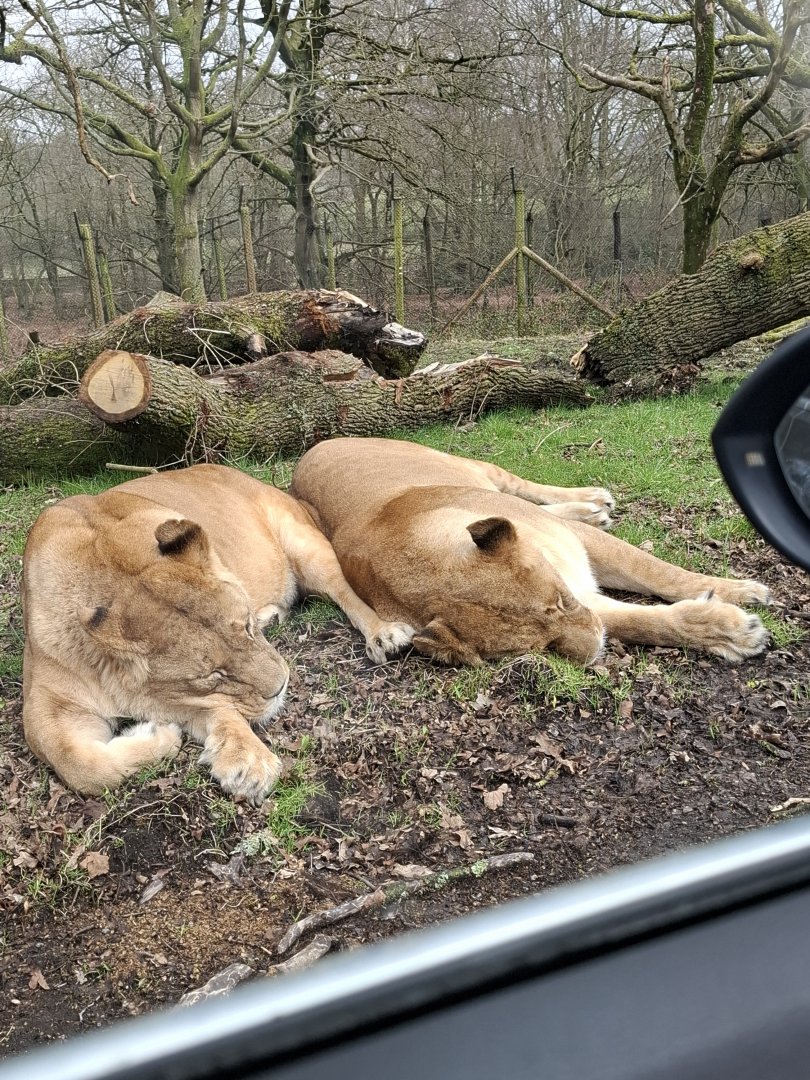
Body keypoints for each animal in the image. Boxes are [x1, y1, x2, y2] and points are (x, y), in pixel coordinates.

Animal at [22, 464, 413, 803]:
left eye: (247, 627)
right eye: (212, 674)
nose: (282, 687)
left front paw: (244, 761)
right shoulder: (45, 705)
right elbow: (79, 764)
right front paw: (161, 733)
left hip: (306, 546)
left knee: (347, 592)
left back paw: (384, 634)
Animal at [290, 437, 771, 667]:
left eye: (560, 601)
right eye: (541, 647)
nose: (593, 651)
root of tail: (312, 448)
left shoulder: (575, 552)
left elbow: (659, 572)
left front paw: (742, 592)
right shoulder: (587, 599)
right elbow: (641, 621)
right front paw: (728, 631)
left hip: (464, 464)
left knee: (520, 484)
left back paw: (592, 500)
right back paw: (594, 509)